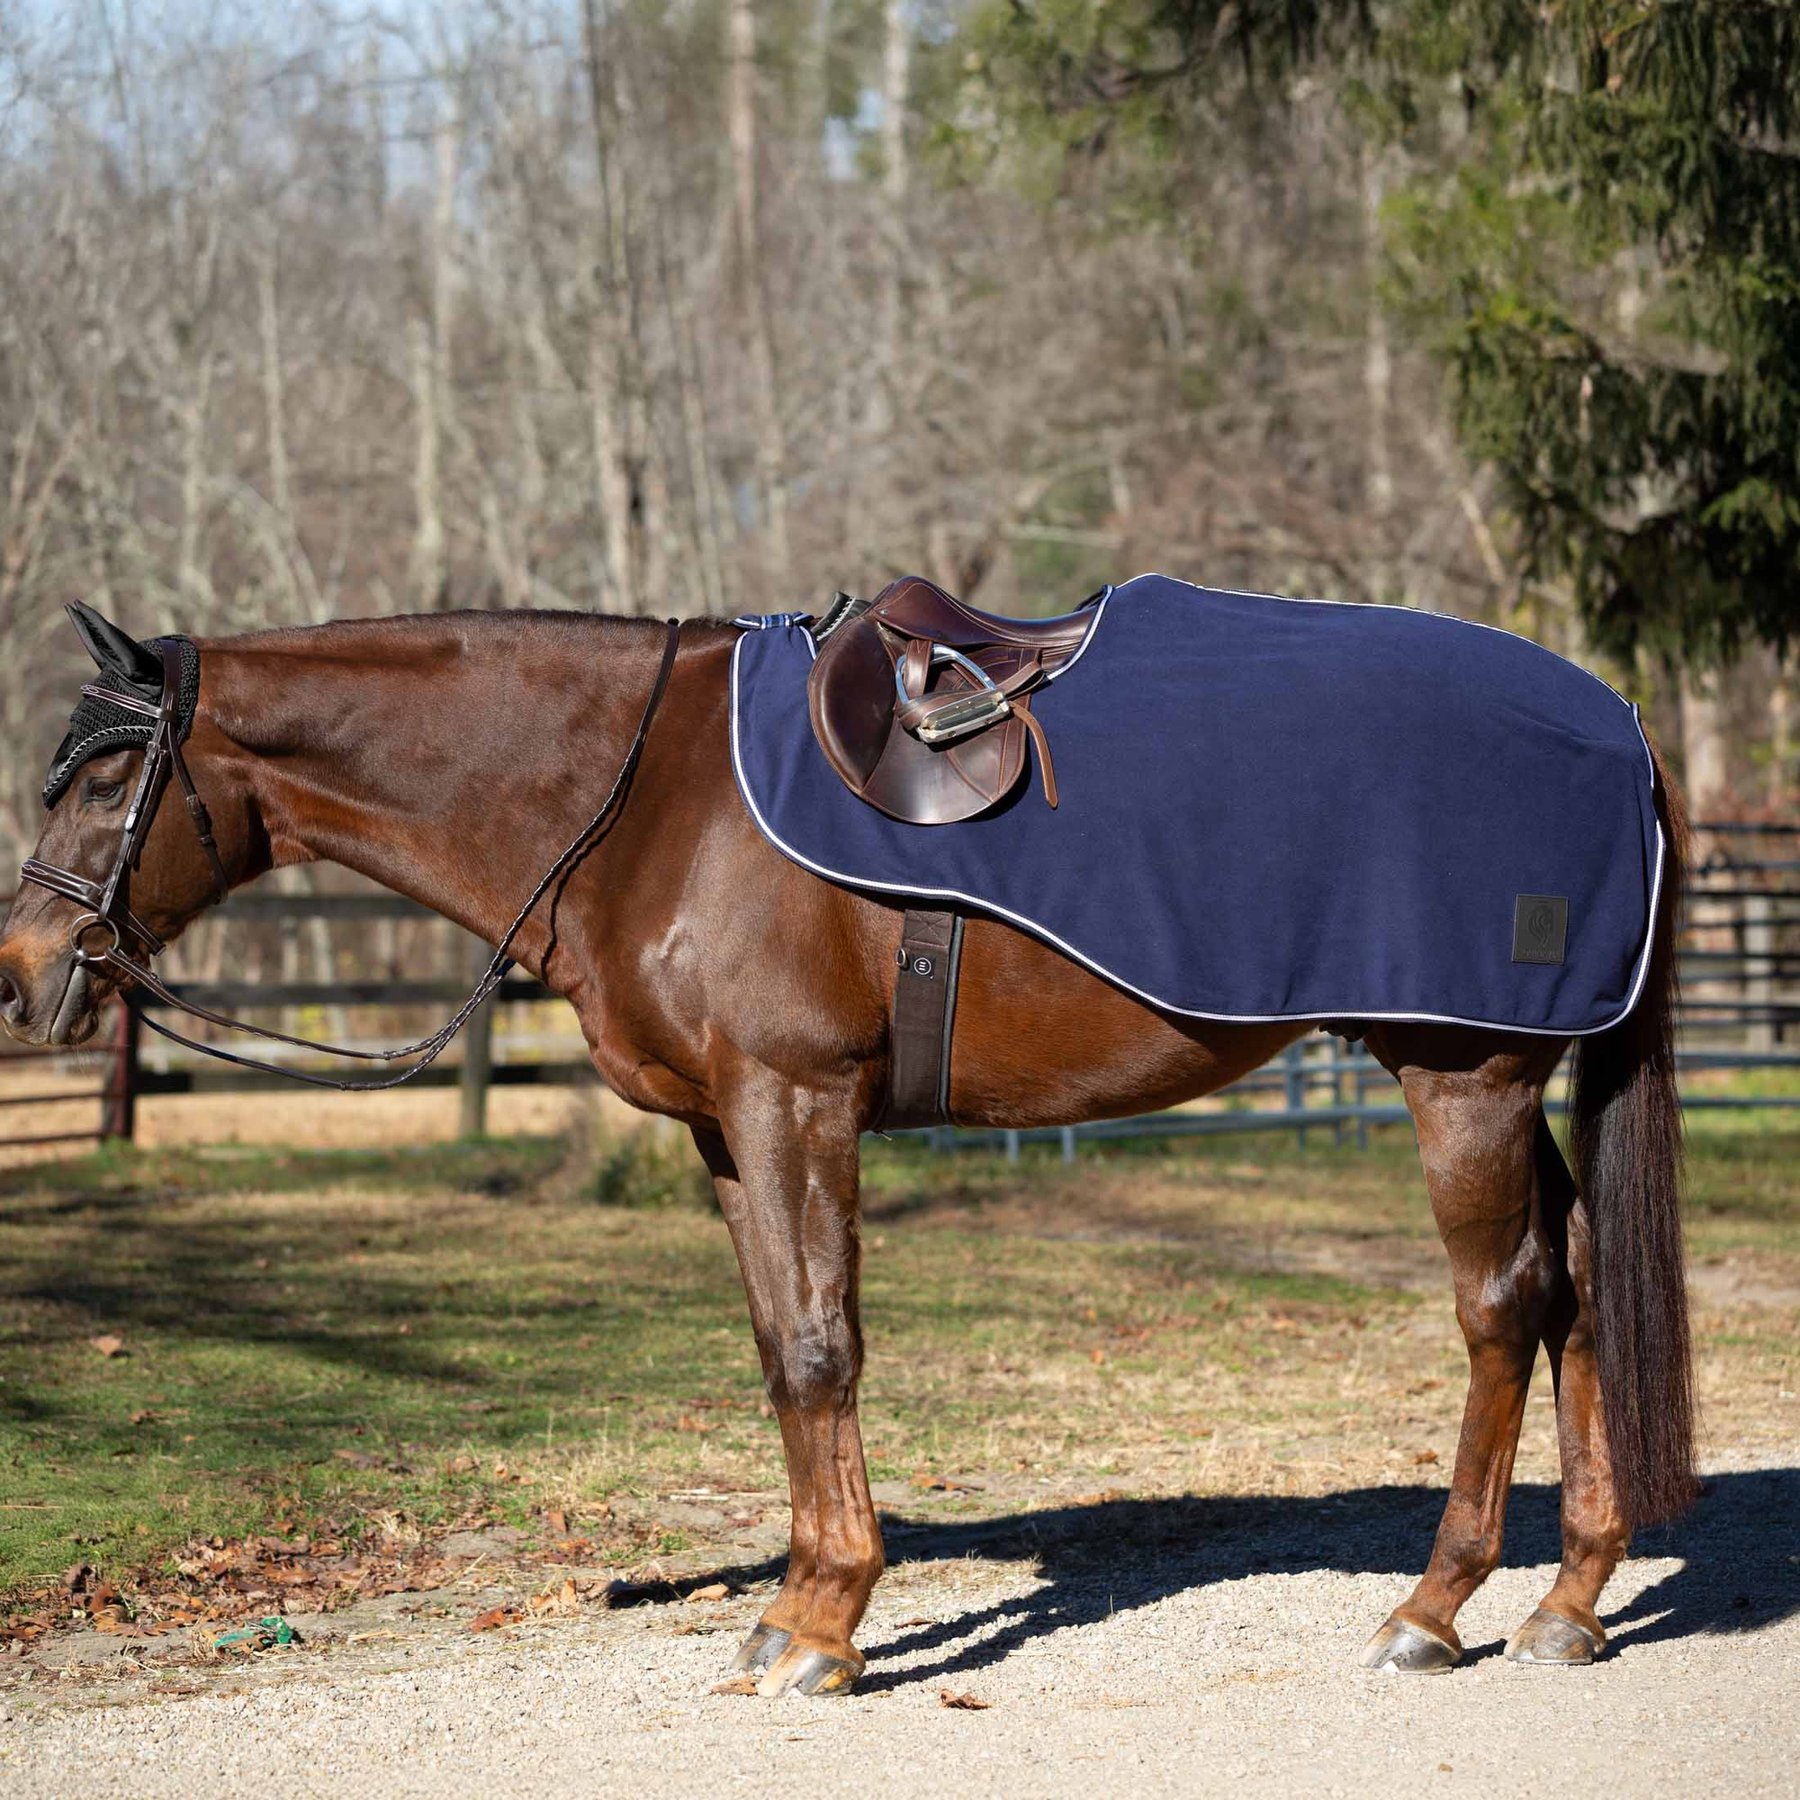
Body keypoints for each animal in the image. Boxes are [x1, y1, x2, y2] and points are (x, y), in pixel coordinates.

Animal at [0, 604, 1694, 1696]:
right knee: (1580, 1289)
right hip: (1504, 1079)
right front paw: (799, 1606)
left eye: (107, 777)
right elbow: (778, 1352)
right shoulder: (729, 1133)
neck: (649, 801)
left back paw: (1436, 1607)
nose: (20, 976)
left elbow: (822, 1350)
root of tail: (1616, 722)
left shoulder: (793, 1100)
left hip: (1462, 1076)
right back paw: (1574, 1597)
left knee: (1505, 1312)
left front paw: (827, 1630)